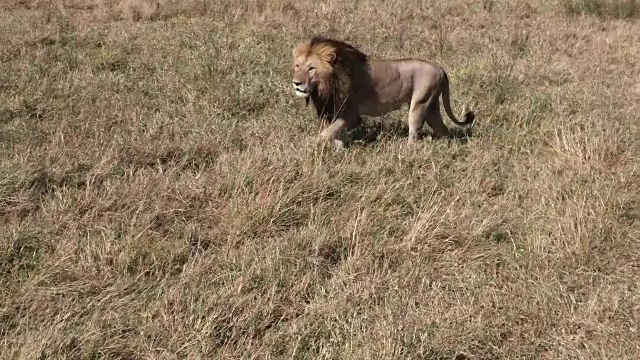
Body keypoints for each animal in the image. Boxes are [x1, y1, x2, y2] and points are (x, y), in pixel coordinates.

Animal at [292, 36, 476, 148]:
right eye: (297, 66)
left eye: (311, 69)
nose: (296, 83)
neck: (325, 85)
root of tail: (440, 69)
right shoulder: (330, 110)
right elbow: (332, 132)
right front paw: (338, 146)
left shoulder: (350, 114)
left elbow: (326, 133)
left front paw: (312, 145)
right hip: (431, 106)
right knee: (442, 129)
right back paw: (447, 146)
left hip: (419, 103)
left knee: (414, 131)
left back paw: (408, 150)